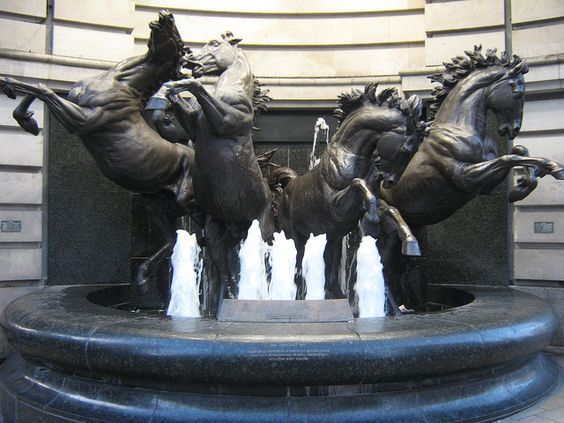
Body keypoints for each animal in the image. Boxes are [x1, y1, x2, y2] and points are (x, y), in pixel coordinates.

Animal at [162, 34, 274, 304]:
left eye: (214, 43)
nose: (190, 57)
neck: (231, 91)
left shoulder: (225, 120)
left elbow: (199, 89)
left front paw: (184, 81)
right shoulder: (193, 125)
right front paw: (170, 85)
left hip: (261, 229)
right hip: (218, 233)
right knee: (224, 265)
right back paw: (231, 296)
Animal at [278, 83, 428, 300]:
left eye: (415, 151)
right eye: (405, 150)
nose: (390, 181)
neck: (350, 156)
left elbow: (391, 209)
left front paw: (411, 242)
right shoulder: (337, 207)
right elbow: (359, 183)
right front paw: (372, 222)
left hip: (331, 239)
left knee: (330, 275)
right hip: (296, 236)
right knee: (298, 269)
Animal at [378, 46, 564, 306]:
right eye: (518, 92)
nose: (512, 129)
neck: (459, 127)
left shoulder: (484, 184)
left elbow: (519, 151)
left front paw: (521, 188)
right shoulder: (465, 177)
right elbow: (509, 158)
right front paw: (553, 167)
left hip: (409, 230)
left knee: (397, 268)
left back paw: (410, 305)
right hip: (386, 232)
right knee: (384, 265)